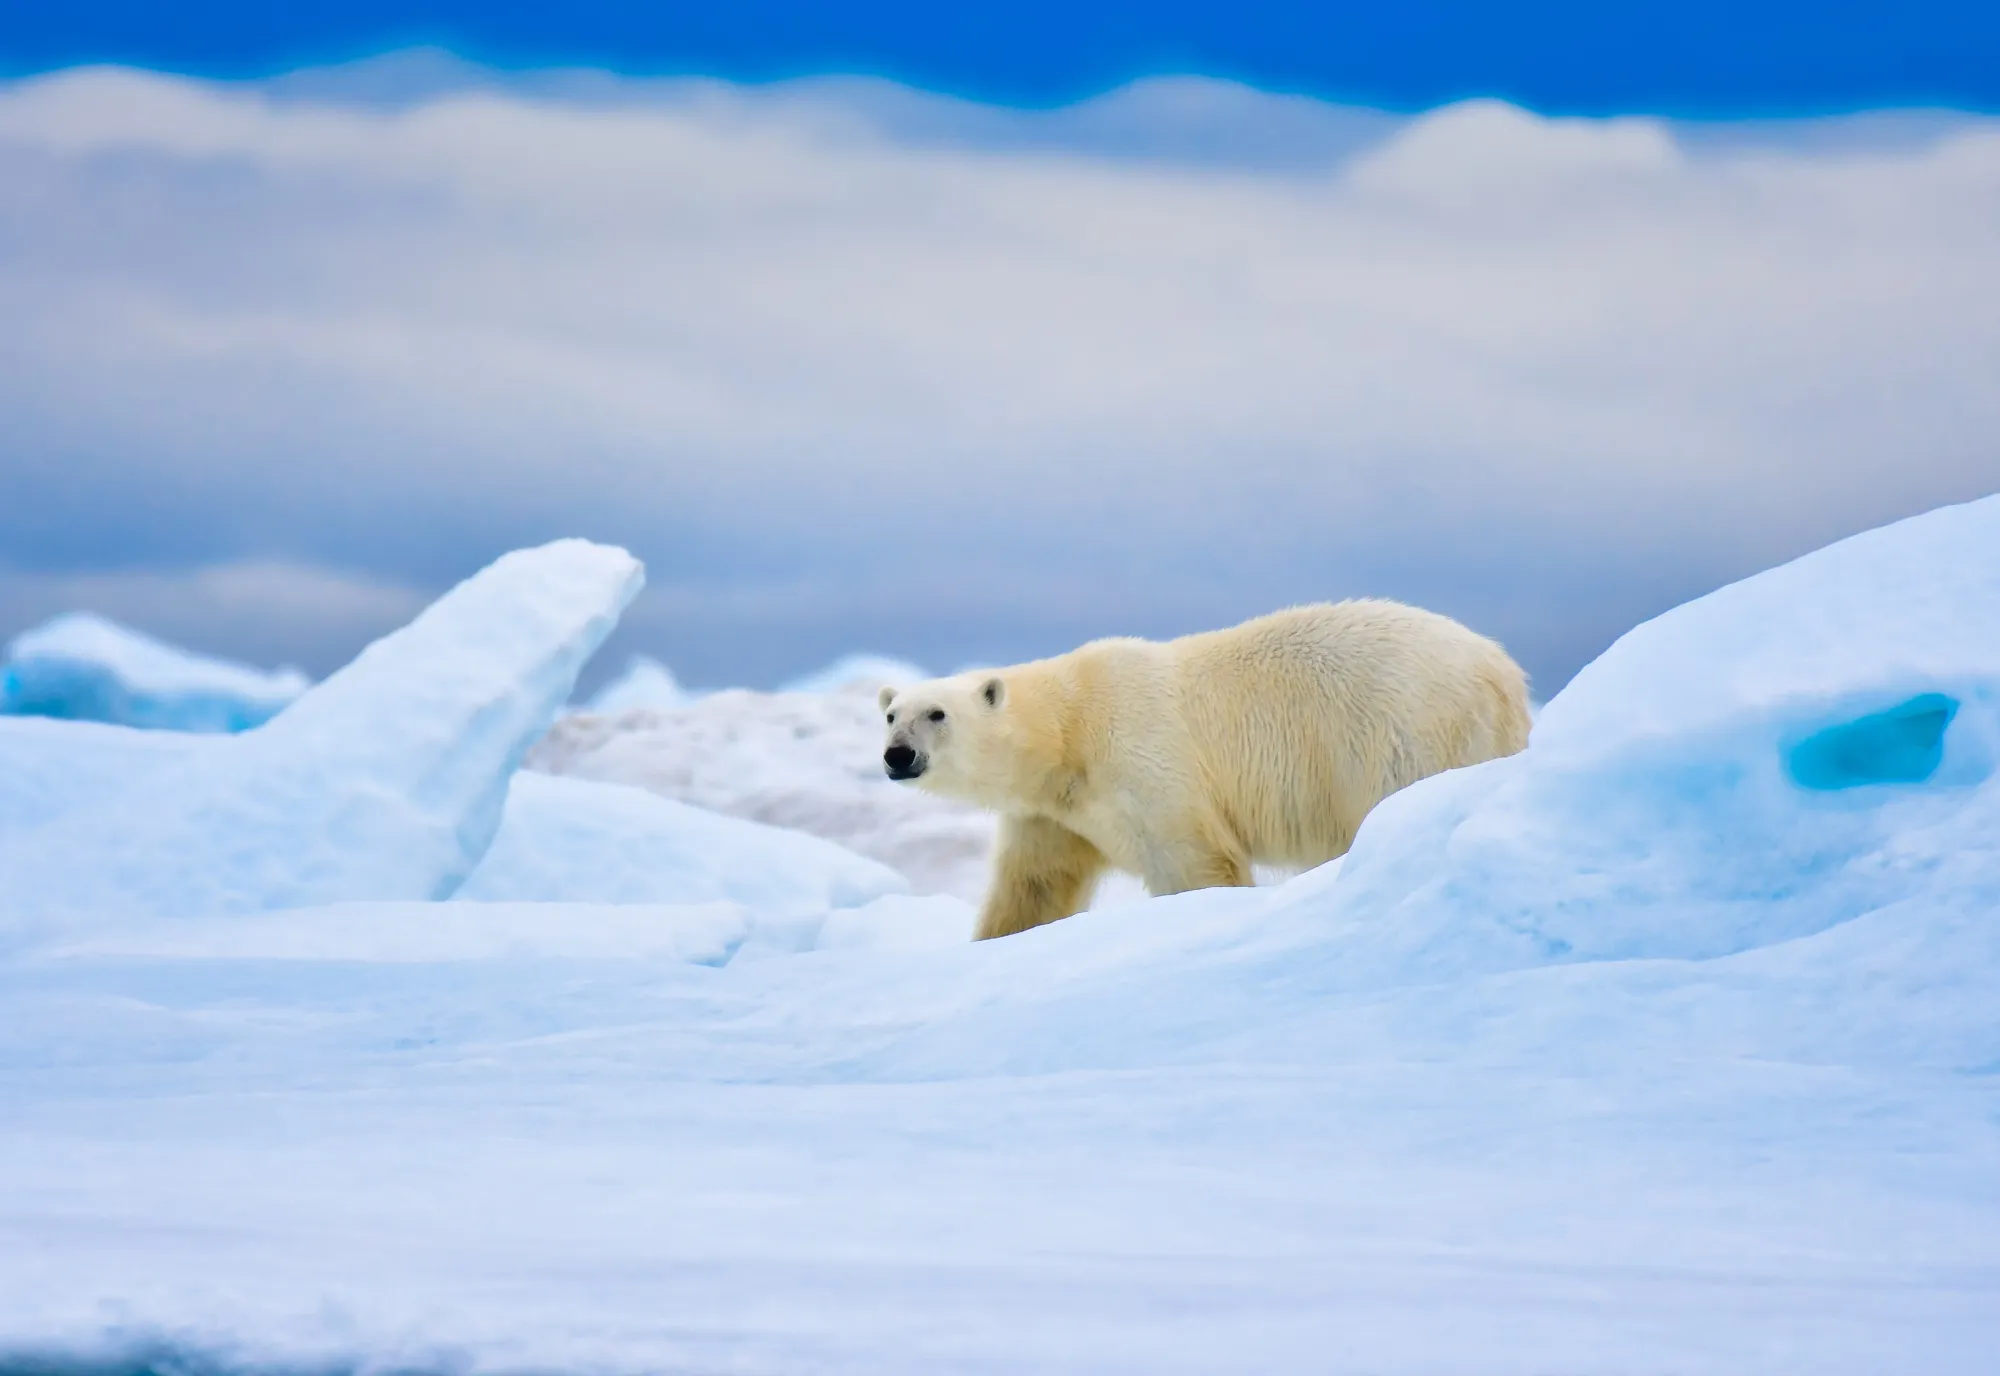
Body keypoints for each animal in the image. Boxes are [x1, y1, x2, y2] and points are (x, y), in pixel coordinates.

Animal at [878, 600, 1531, 940]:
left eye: (937, 713)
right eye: (890, 714)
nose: (897, 756)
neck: (1068, 729)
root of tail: (1503, 674)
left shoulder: (1142, 757)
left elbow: (1193, 859)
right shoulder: (1052, 811)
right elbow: (1035, 887)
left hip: (1398, 734)